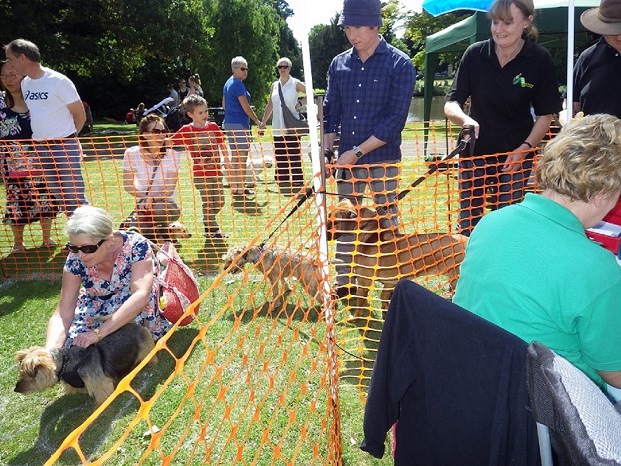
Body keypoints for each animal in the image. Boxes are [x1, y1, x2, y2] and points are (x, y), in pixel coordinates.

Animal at [14, 322, 156, 406]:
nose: (16, 389)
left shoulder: (100, 384)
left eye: (26, 377)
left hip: (145, 349)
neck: (66, 363)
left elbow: (102, 397)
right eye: (20, 375)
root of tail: (137, 325)